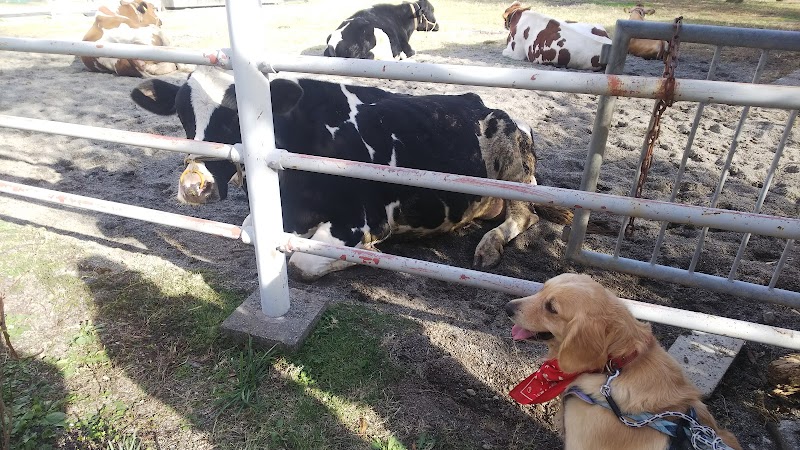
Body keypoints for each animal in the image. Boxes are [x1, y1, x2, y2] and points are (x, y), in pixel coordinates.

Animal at [130, 67, 576, 280]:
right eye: (184, 117)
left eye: (234, 118)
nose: (194, 186)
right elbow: (250, 227)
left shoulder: (363, 219)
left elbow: (303, 262)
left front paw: (371, 254)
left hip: (515, 168)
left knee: (524, 214)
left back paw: (489, 245)